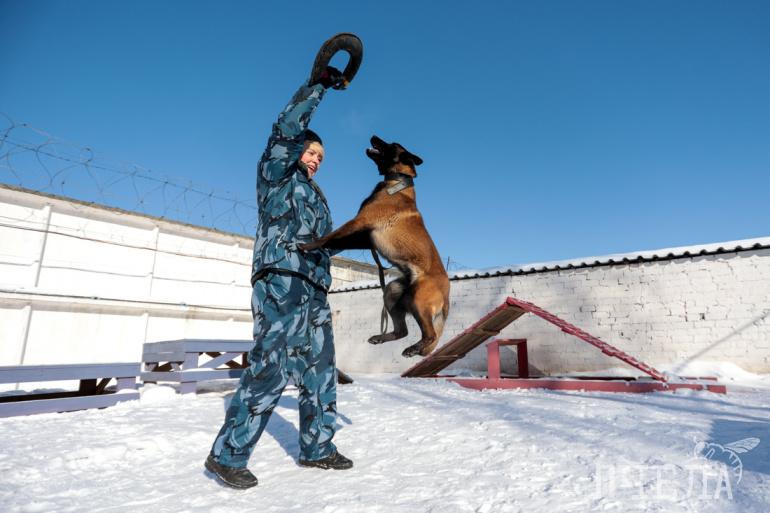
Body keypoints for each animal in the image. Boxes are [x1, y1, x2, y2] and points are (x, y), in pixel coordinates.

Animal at [300, 135, 450, 357]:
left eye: (392, 144)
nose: (374, 137)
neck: (397, 182)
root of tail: (447, 294)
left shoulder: (358, 222)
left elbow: (330, 236)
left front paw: (307, 245)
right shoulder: (364, 237)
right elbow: (336, 241)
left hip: (419, 299)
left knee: (429, 334)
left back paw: (413, 348)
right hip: (392, 292)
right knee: (401, 331)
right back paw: (381, 338)